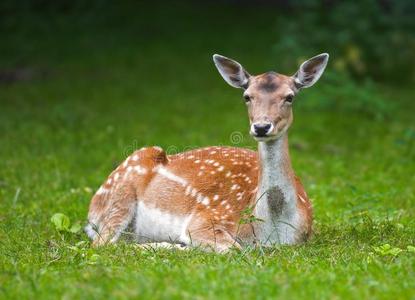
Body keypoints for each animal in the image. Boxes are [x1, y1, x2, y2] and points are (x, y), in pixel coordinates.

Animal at [86, 52, 330, 252]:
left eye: (290, 97)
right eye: (247, 96)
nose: (261, 127)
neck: (273, 228)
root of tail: (90, 212)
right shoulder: (206, 219)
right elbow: (234, 249)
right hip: (120, 196)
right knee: (103, 243)